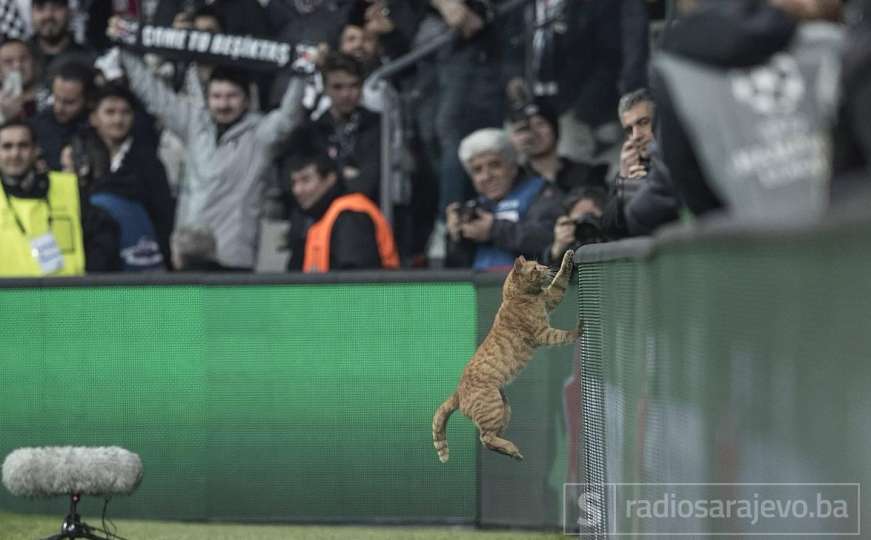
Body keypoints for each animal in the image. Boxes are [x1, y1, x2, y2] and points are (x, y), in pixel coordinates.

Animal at [432, 251, 584, 462]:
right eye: (535, 268)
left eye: (540, 264)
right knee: (485, 437)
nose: (546, 267)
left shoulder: (551, 297)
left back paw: (513, 452)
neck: (518, 296)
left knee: (490, 440)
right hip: (493, 408)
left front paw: (567, 257)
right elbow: (564, 335)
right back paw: (512, 449)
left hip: (505, 410)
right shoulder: (543, 334)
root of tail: (458, 392)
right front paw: (578, 329)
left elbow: (561, 279)